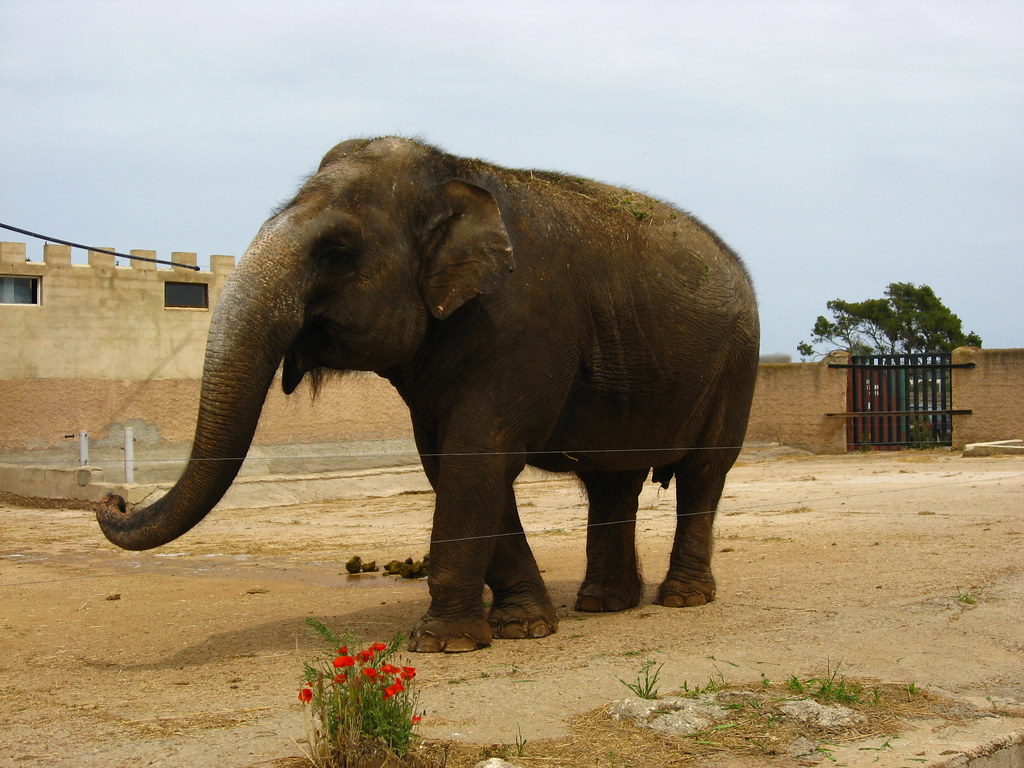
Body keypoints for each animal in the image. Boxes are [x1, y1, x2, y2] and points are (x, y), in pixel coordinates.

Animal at [97, 137, 760, 653]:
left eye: (337, 252)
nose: (114, 498)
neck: (453, 173)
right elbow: (449, 463)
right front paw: (522, 627)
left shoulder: (523, 326)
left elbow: (475, 458)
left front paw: (445, 644)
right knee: (611, 480)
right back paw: (603, 605)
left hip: (737, 362)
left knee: (703, 472)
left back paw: (683, 600)